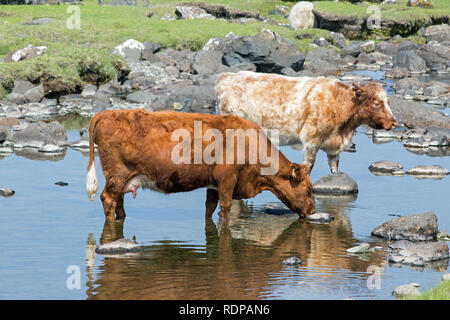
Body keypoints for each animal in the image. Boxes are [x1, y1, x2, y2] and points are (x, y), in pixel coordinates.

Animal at [86, 109, 314, 220]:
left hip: (124, 178)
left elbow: (209, 209)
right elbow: (225, 208)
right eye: (309, 190)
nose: (312, 211)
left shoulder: (213, 184)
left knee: (119, 201)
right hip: (116, 174)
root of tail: (106, 113)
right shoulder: (227, 179)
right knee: (108, 199)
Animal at [216, 71, 396, 174]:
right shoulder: (310, 142)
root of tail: (225, 77)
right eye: (376, 103)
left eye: (388, 101)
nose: (394, 123)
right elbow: (307, 169)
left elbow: (335, 169)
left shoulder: (333, 148)